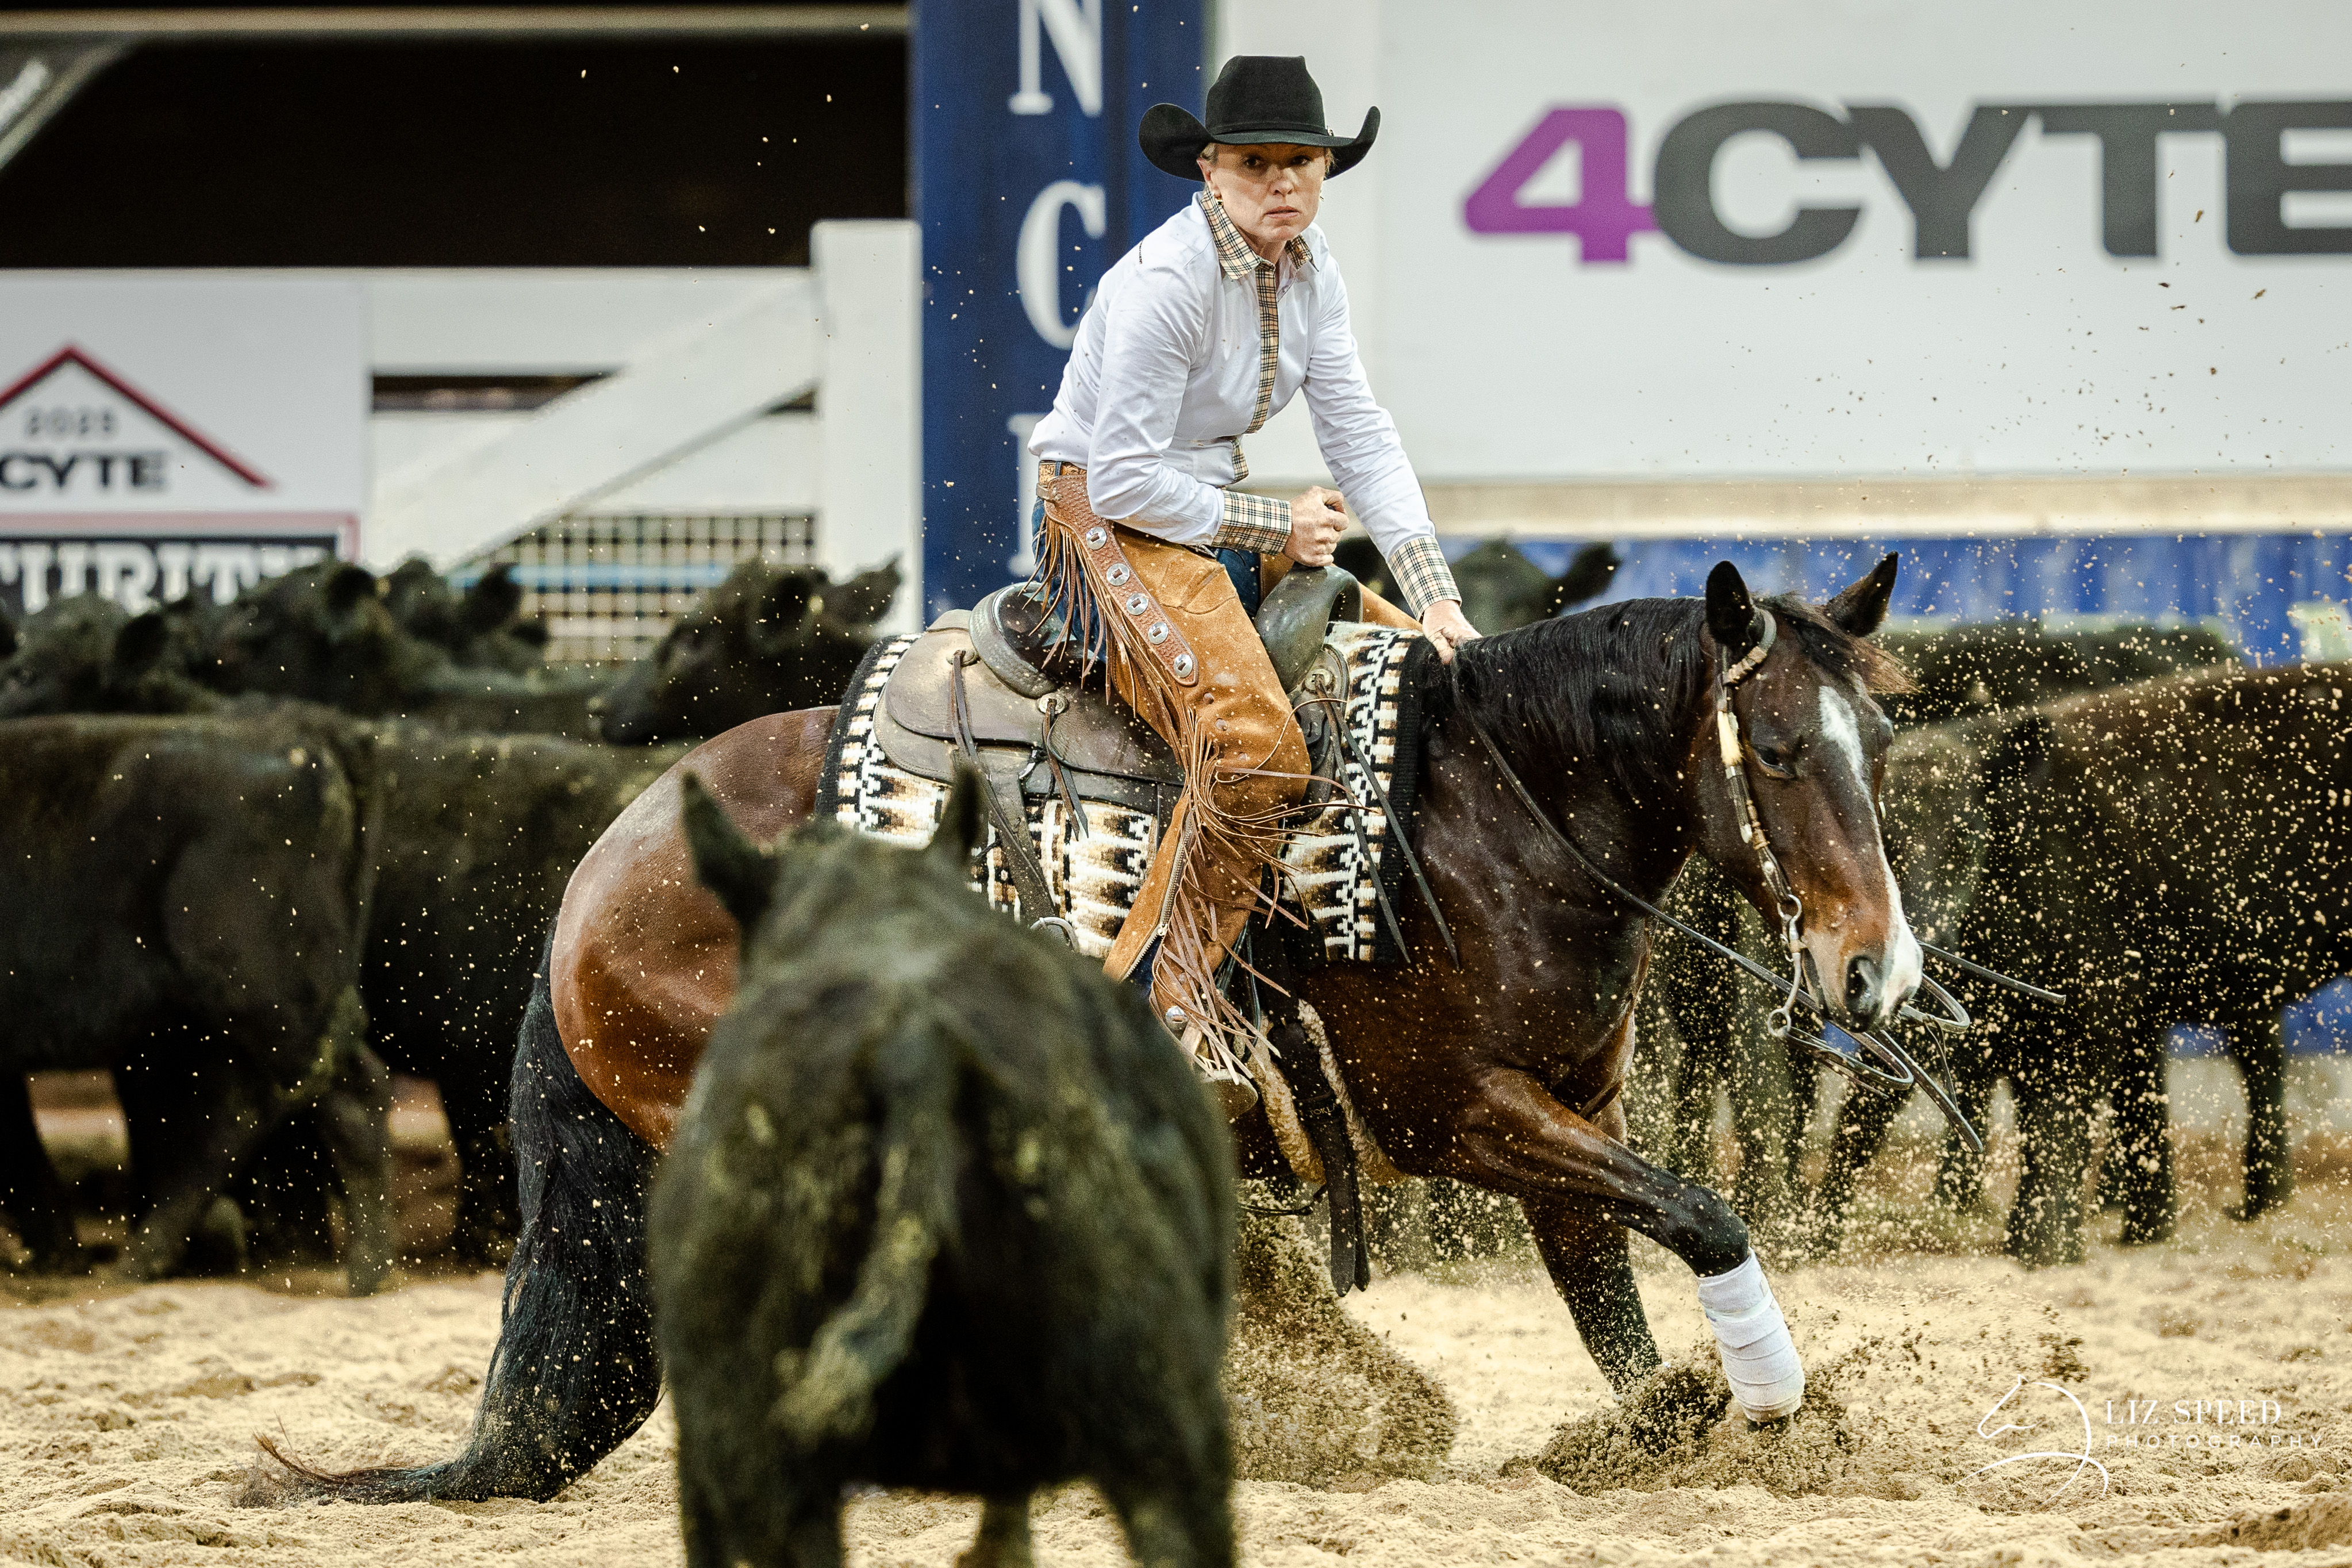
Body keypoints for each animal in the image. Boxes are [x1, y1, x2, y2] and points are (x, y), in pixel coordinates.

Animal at [264, 556, 1921, 1504]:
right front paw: (1776, 1405)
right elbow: (1703, 1216)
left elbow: (1621, 1305)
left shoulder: (1573, 1116)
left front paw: (1678, 1425)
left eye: (1884, 739)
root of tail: (597, 875)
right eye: (1779, 748)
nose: (1875, 970)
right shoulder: (1459, 1116)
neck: (1478, 816)